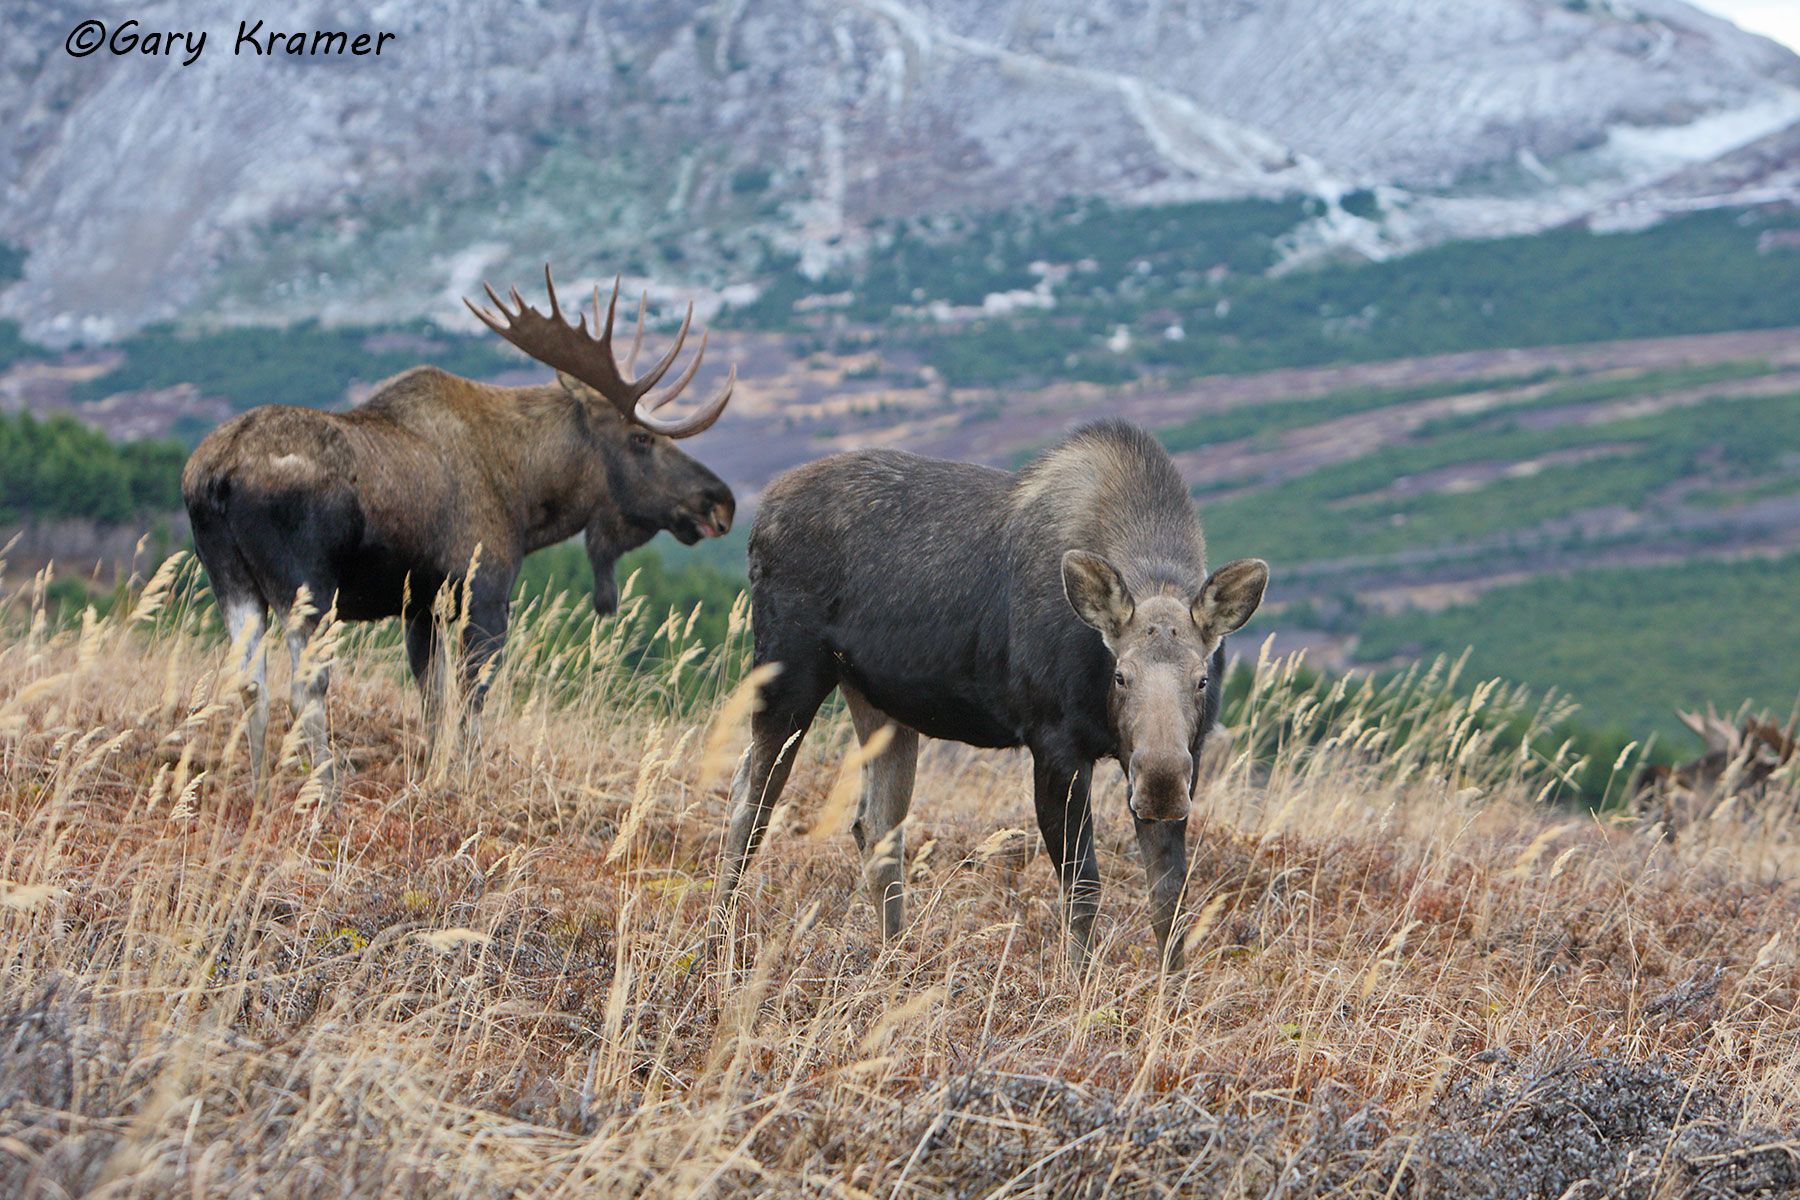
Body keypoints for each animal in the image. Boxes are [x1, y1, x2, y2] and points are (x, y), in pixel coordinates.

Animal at [182, 268, 737, 792]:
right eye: (640, 438)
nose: (720, 501)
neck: (527, 496)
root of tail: (215, 477)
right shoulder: (485, 593)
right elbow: (472, 700)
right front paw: (462, 782)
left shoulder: (421, 609)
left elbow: (434, 703)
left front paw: (430, 778)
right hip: (306, 586)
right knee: (305, 687)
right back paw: (325, 794)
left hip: (232, 580)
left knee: (250, 684)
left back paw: (261, 796)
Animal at [715, 420, 1268, 969]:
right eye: (1121, 675)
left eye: (1200, 679)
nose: (1160, 785)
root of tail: (760, 515)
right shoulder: (1055, 745)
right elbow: (1083, 888)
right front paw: (1076, 981)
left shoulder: (1185, 755)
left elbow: (1169, 896)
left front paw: (1169, 986)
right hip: (787, 669)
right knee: (750, 802)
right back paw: (719, 944)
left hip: (879, 702)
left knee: (874, 826)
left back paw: (896, 960)